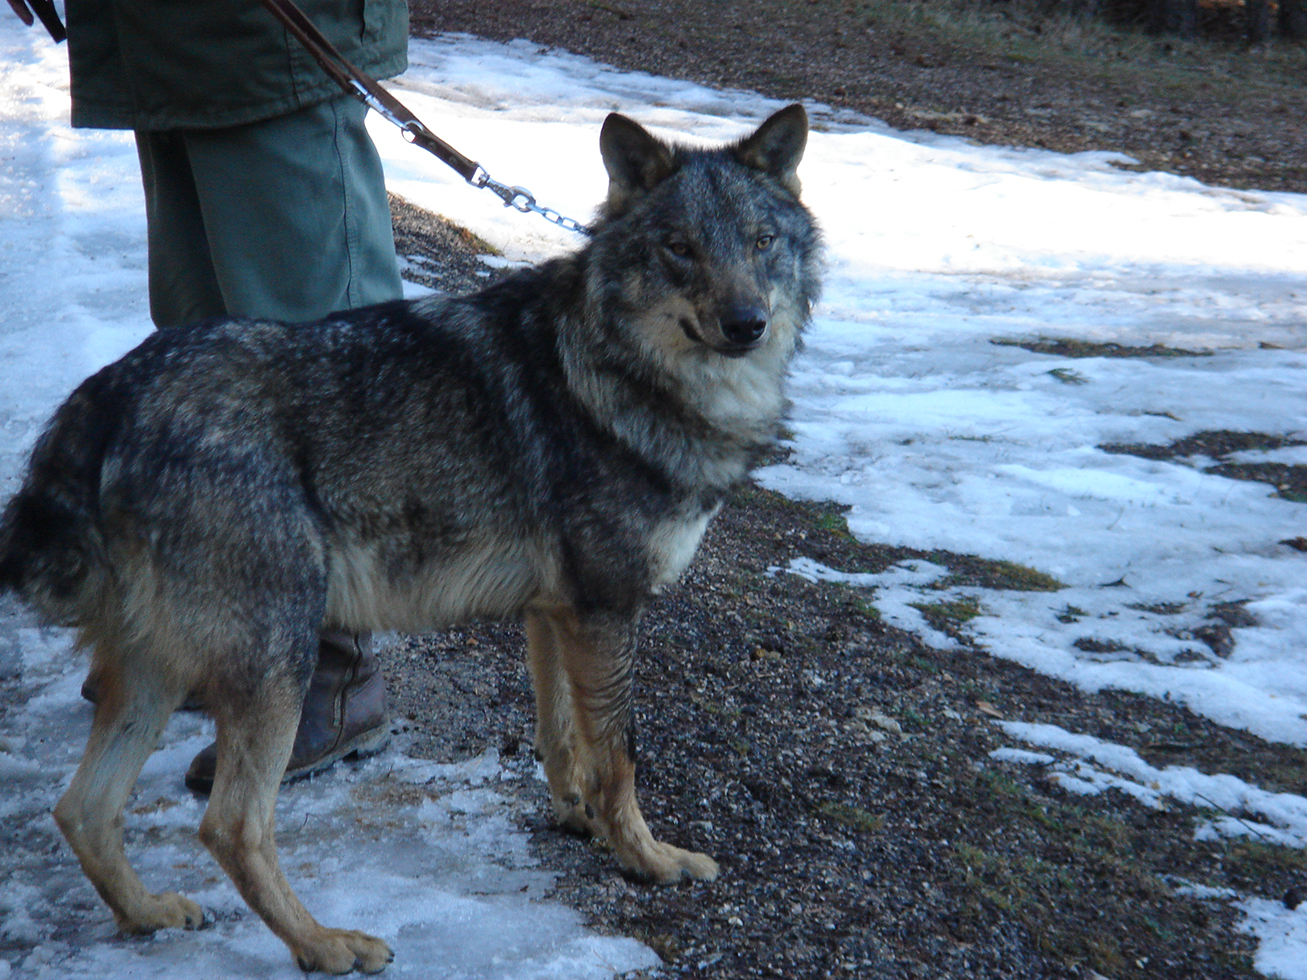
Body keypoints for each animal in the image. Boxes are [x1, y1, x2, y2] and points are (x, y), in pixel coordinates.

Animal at [0, 101, 815, 977]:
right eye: (679, 248)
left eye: (761, 242)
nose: (746, 324)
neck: (613, 366)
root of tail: (108, 393)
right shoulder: (606, 610)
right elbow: (619, 754)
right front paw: (647, 859)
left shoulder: (554, 614)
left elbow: (563, 738)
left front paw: (577, 818)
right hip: (274, 662)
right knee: (229, 826)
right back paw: (325, 944)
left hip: (157, 674)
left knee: (81, 809)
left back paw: (147, 912)